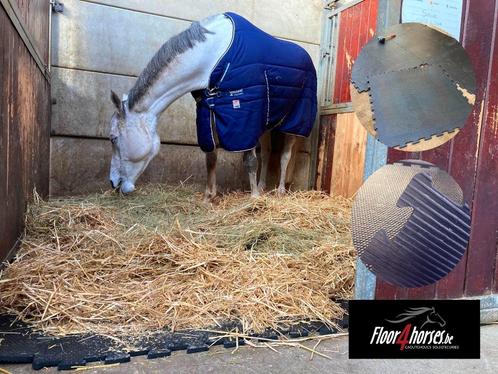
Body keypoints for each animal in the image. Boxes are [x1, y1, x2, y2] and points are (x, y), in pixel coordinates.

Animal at [109, 13, 314, 202]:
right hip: (267, 122)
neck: (214, 57)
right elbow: (211, 158)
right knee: (267, 152)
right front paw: (209, 197)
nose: (113, 183)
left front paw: (254, 198)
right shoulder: (208, 112)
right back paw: (263, 186)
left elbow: (250, 160)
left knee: (285, 156)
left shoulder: (244, 118)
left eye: (113, 138)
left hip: (293, 124)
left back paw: (280, 190)